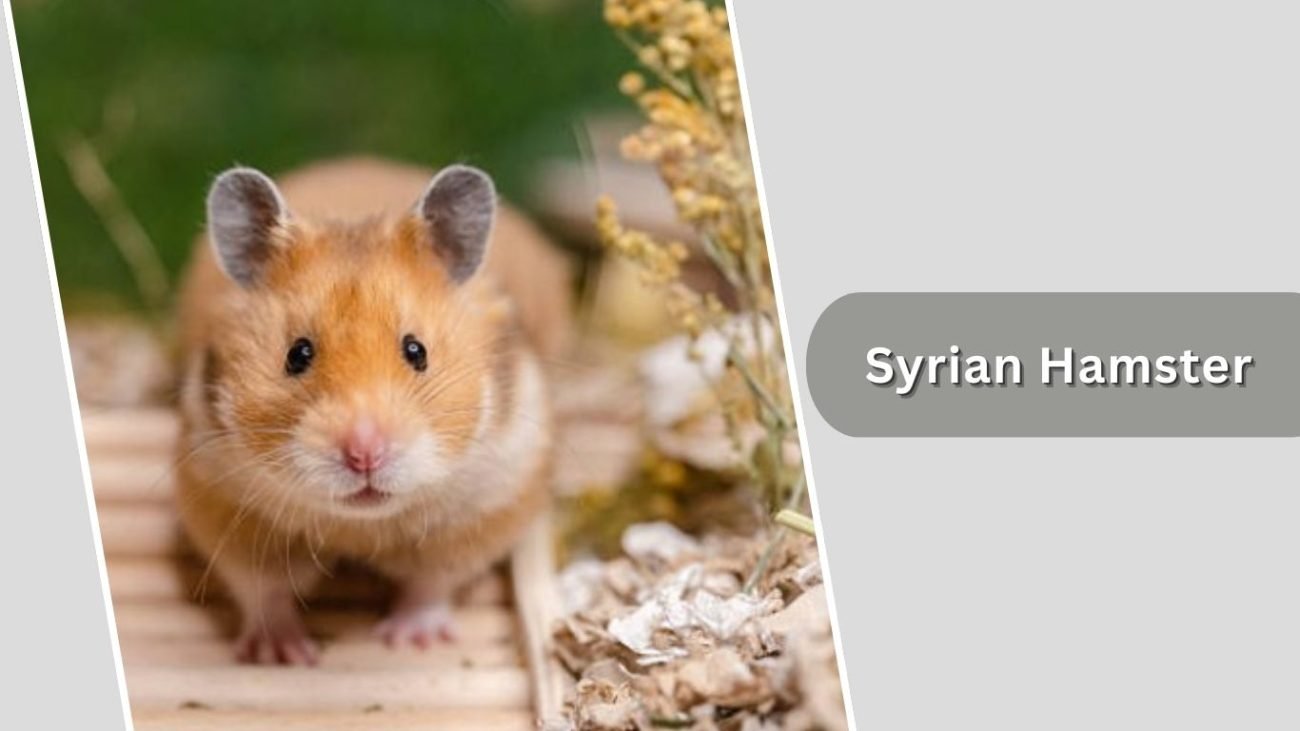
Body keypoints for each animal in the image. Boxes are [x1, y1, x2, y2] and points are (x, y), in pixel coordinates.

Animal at [174, 157, 571, 665]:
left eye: (416, 351)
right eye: (297, 354)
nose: (364, 454)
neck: (359, 525)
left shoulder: (490, 501)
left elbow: (432, 581)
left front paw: (408, 640)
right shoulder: (219, 501)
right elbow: (263, 589)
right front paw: (283, 653)